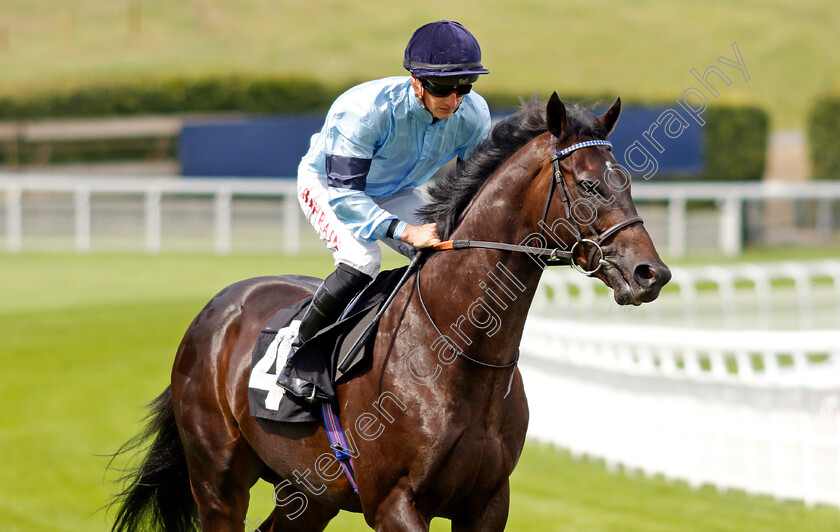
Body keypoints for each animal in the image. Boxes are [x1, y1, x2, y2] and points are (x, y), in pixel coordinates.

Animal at [110, 93, 668, 528]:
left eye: (627, 181)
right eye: (589, 185)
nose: (651, 273)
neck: (454, 349)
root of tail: (215, 310)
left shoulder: (487, 502)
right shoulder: (393, 502)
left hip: (310, 492)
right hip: (217, 483)